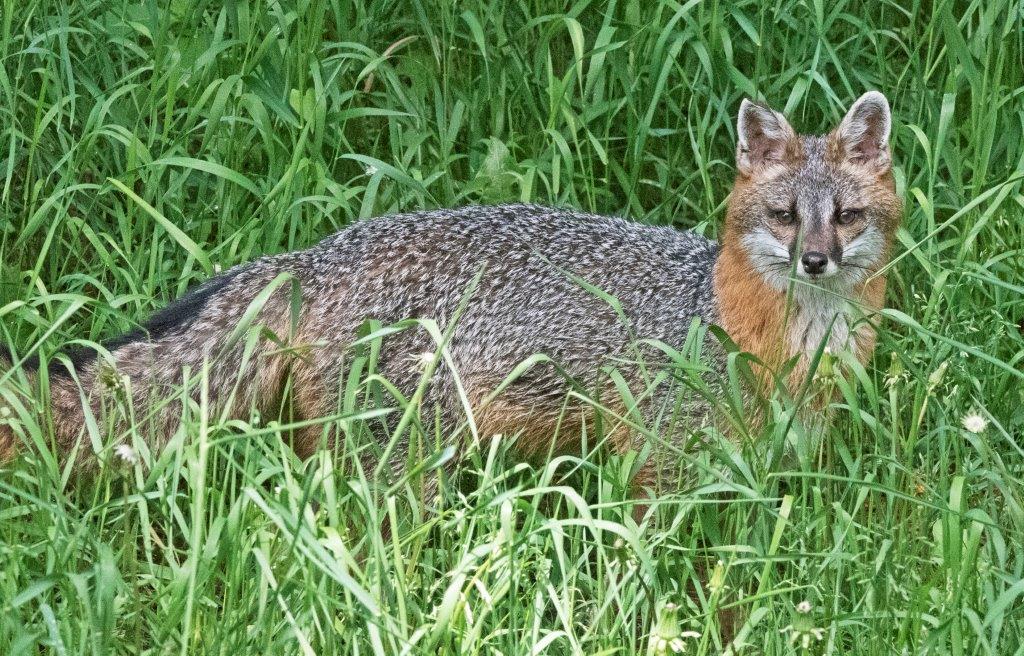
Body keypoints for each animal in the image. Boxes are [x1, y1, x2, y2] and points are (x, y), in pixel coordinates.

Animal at [0, 92, 901, 504]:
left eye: (846, 216)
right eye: (783, 216)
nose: (815, 260)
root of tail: (314, 254)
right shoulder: (660, 465)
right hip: (404, 469)